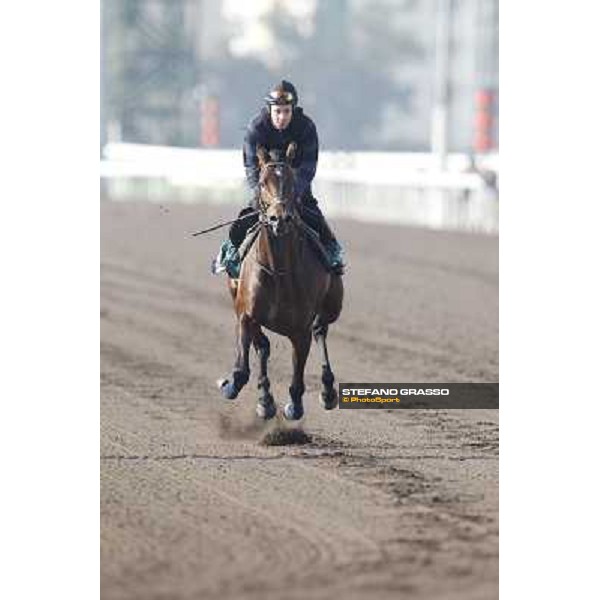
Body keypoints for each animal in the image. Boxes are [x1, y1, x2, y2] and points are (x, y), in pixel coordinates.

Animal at [219, 142, 342, 420]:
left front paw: (294, 405)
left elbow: (297, 376)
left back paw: (328, 391)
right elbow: (245, 366)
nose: (279, 218)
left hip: (333, 306)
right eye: (262, 182)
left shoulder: (300, 330)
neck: (278, 270)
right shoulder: (245, 314)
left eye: (292, 181)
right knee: (264, 347)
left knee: (321, 332)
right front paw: (237, 388)